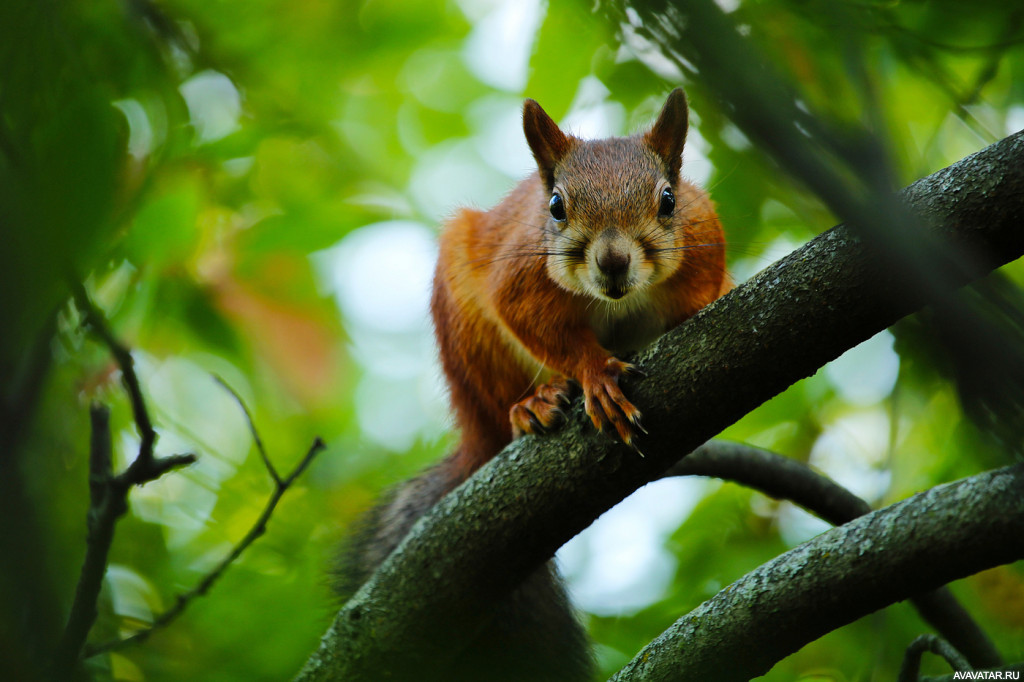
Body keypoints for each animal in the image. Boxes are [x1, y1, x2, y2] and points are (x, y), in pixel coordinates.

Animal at [335, 87, 729, 675]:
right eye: (556, 207)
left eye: (668, 200)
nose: (613, 261)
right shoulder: (519, 279)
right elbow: (547, 332)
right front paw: (594, 375)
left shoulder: (706, 248)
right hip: (470, 340)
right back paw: (531, 406)